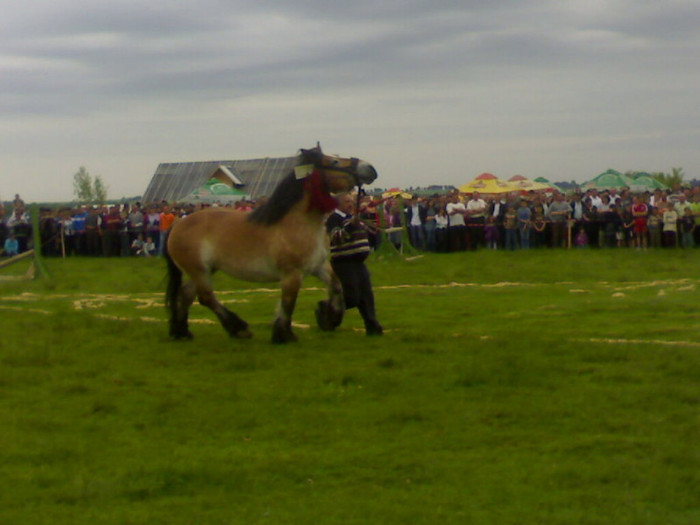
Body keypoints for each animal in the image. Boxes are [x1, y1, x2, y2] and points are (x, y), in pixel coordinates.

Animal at [165, 145, 378, 344]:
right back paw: (238, 329)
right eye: (334, 162)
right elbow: (288, 302)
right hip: (198, 270)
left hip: (204, 270)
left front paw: (329, 317)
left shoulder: (318, 266)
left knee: (186, 295)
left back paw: (182, 332)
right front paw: (284, 334)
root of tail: (178, 224)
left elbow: (336, 286)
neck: (298, 223)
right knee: (206, 297)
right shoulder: (292, 274)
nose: (370, 168)